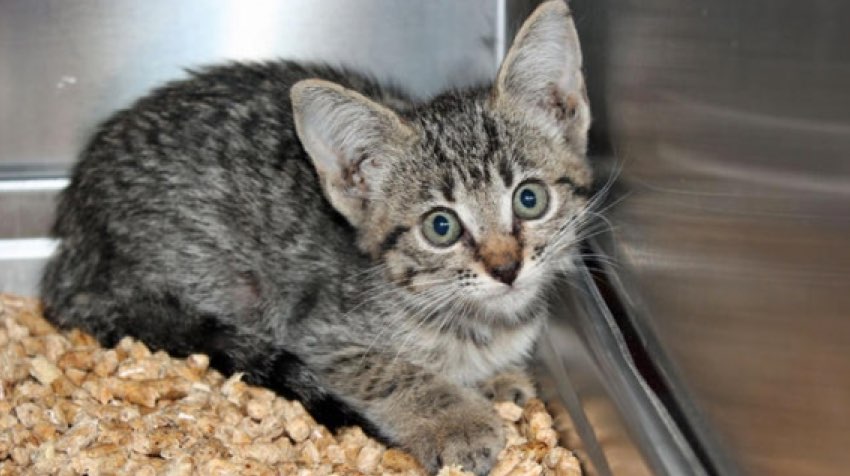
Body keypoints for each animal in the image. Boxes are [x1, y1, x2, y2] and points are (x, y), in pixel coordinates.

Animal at [39, 1, 588, 474]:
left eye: (530, 199)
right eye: (441, 227)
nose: (506, 267)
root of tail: (71, 246)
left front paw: (501, 379)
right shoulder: (318, 333)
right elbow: (394, 372)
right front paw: (457, 419)